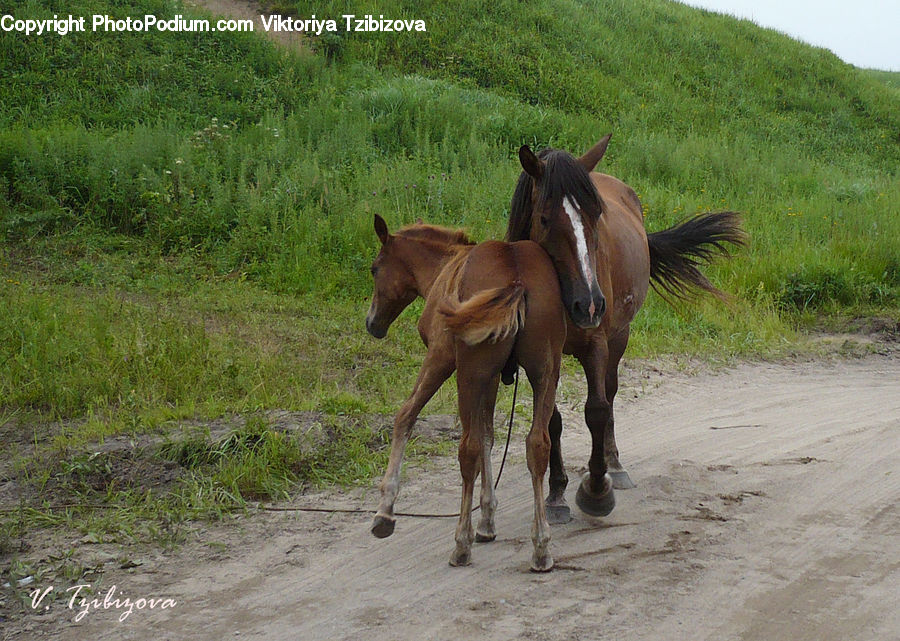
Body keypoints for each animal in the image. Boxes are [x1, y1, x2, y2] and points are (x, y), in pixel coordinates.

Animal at [365, 214, 567, 571]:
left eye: (375, 269)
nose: (372, 323)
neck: (445, 269)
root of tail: (516, 281)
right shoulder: (494, 376)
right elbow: (488, 433)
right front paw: (487, 519)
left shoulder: (442, 357)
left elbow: (406, 416)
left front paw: (385, 511)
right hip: (544, 372)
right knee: (536, 444)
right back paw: (541, 547)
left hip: (470, 372)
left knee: (467, 448)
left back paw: (461, 544)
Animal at [507, 134, 746, 522]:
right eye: (543, 218)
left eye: (596, 215)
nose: (589, 304)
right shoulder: (541, 356)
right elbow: (552, 419)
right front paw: (556, 494)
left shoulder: (597, 344)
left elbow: (597, 410)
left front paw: (596, 490)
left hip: (619, 337)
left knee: (610, 394)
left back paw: (614, 466)